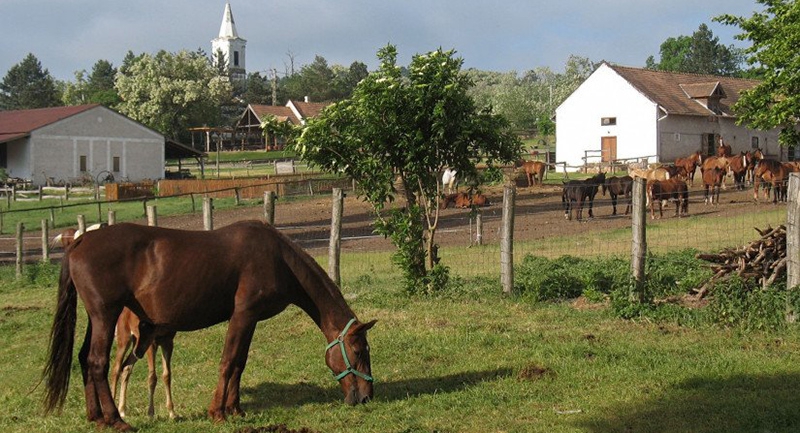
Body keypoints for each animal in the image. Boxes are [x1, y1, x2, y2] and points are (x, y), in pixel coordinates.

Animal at [45, 221, 376, 430]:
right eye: (360, 352)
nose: (366, 397)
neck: (279, 260)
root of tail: (80, 240)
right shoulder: (243, 315)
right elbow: (228, 362)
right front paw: (217, 412)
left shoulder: (250, 319)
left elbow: (240, 363)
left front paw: (235, 409)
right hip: (106, 315)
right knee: (98, 363)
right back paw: (116, 420)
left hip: (97, 318)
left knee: (84, 360)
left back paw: (96, 417)